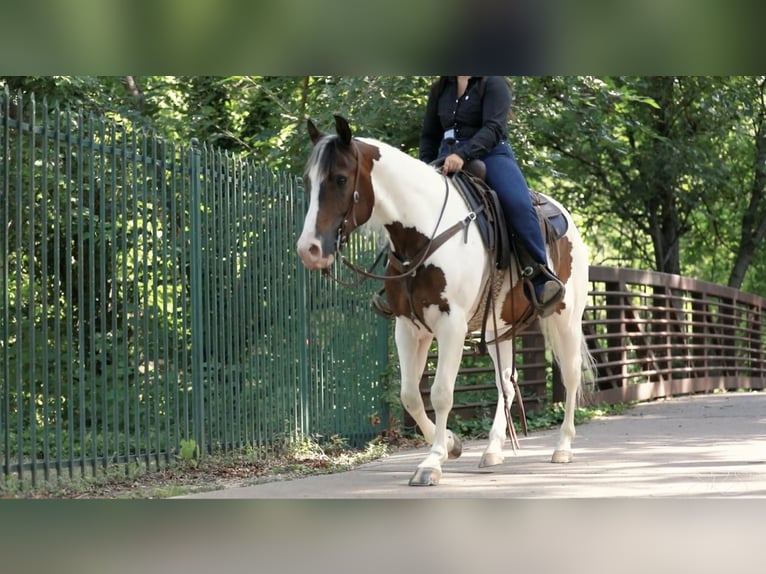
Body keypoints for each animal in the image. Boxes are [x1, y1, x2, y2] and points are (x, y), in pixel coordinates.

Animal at [296, 115, 594, 487]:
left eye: (339, 178)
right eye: (308, 181)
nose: (309, 250)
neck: (422, 234)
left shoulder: (451, 326)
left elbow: (440, 393)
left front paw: (432, 461)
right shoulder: (409, 327)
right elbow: (410, 395)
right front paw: (451, 444)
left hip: (565, 318)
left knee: (570, 375)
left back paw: (563, 447)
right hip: (500, 329)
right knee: (506, 384)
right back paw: (493, 450)